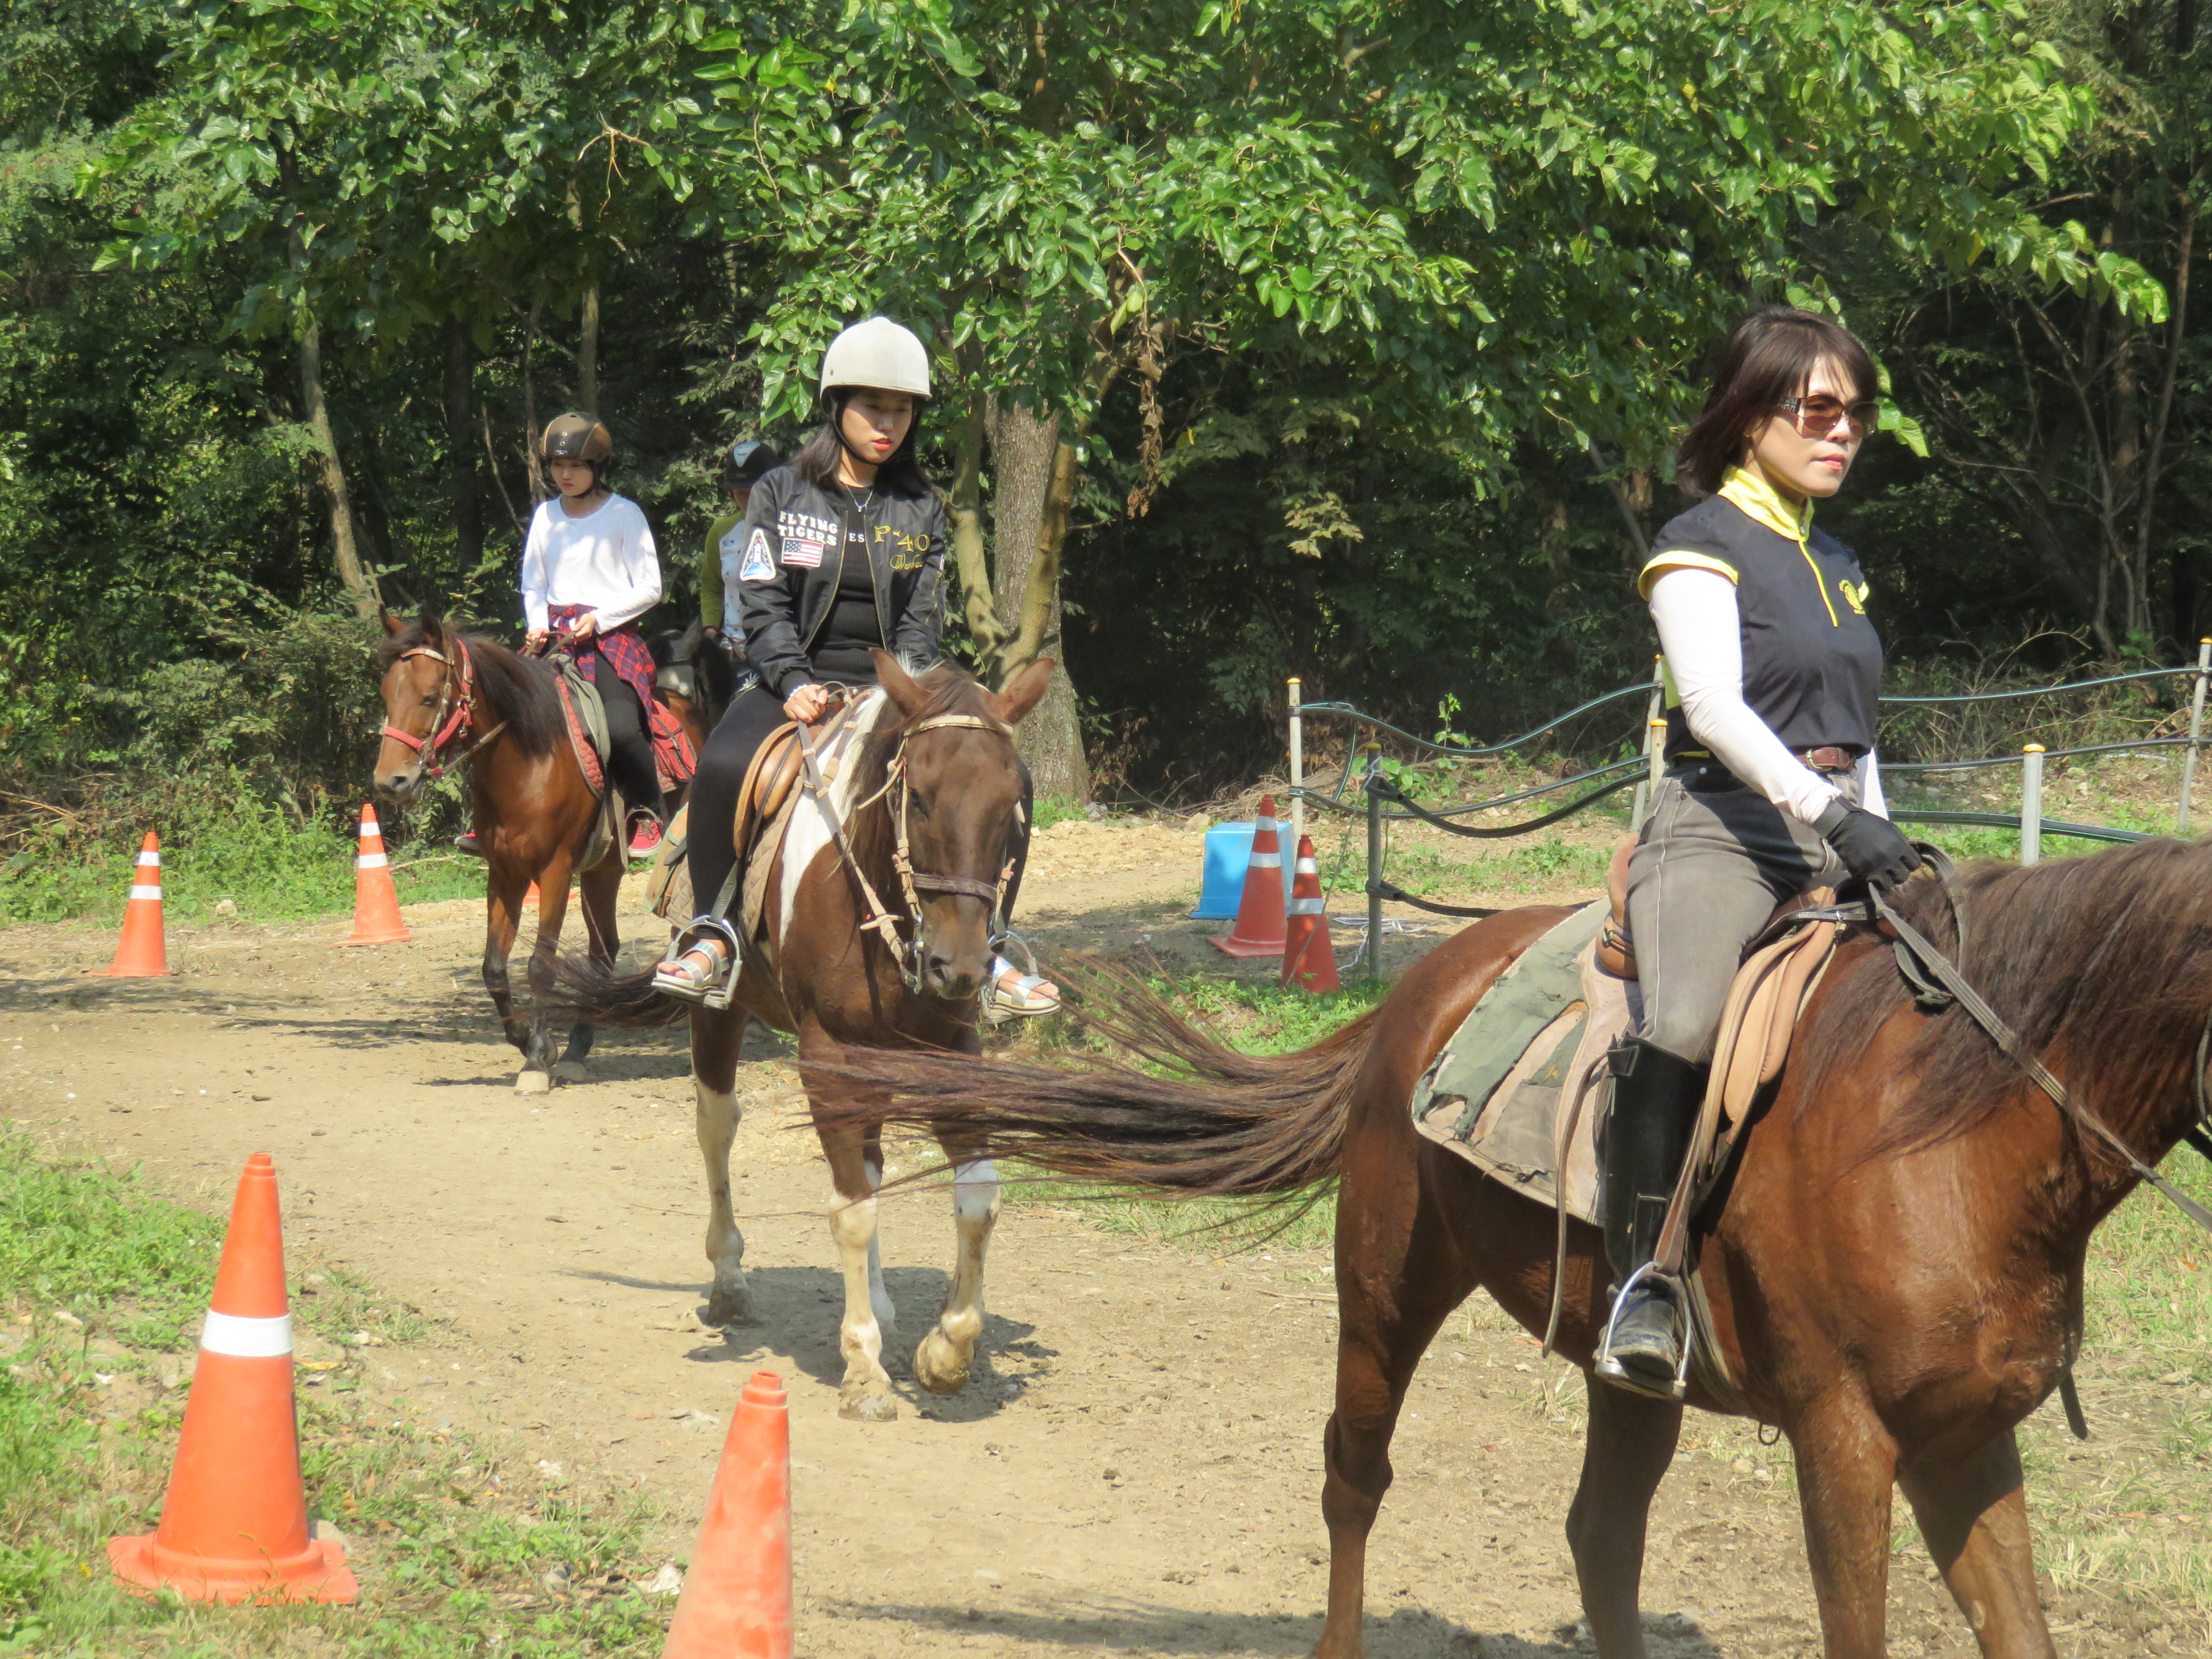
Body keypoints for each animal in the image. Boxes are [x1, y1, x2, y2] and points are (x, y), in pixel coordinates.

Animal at [372, 611, 626, 1093]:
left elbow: (541, 966)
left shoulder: (556, 871)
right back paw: (578, 1049)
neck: (529, 762)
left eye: (430, 698)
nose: (390, 783)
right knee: (603, 953)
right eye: (386, 695)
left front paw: (538, 1059)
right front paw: (528, 1042)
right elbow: (493, 968)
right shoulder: (505, 873)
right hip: (603, 868)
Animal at [554, 649, 1054, 1422]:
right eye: (917, 797)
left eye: (1012, 806)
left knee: (869, 1166)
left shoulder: (950, 1052)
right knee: (718, 1129)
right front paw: (865, 1372)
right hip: (719, 1014)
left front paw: (945, 1353)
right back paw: (731, 1283)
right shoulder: (824, 1055)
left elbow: (976, 1197)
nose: (960, 967)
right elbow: (851, 1214)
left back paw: (884, 1311)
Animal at [809, 836, 2212, 1658]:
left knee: (1601, 1535)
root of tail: (1412, 1000)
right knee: (1354, 1479)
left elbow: (2017, 1626)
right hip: (1385, 1290)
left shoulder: (1965, 1438)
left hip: (1623, 1365)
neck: (1946, 1123)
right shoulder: (1846, 1438)